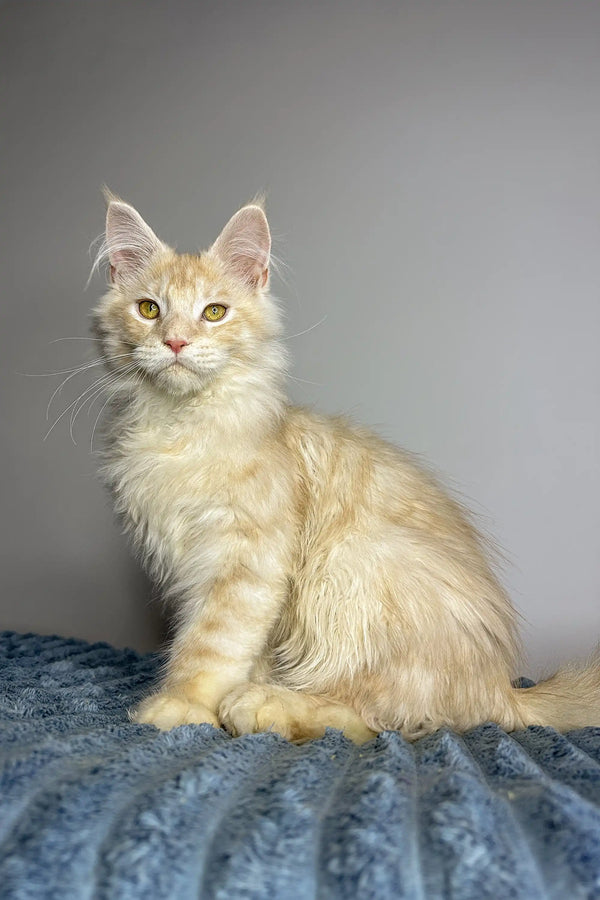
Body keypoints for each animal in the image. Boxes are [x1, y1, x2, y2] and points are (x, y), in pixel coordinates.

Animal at [91, 188, 596, 740]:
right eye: (148, 309)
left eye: (214, 312)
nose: (176, 342)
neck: (180, 430)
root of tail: (501, 688)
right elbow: (234, 649)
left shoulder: (246, 560)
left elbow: (210, 645)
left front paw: (182, 705)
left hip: (351, 565)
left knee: (380, 714)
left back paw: (265, 706)